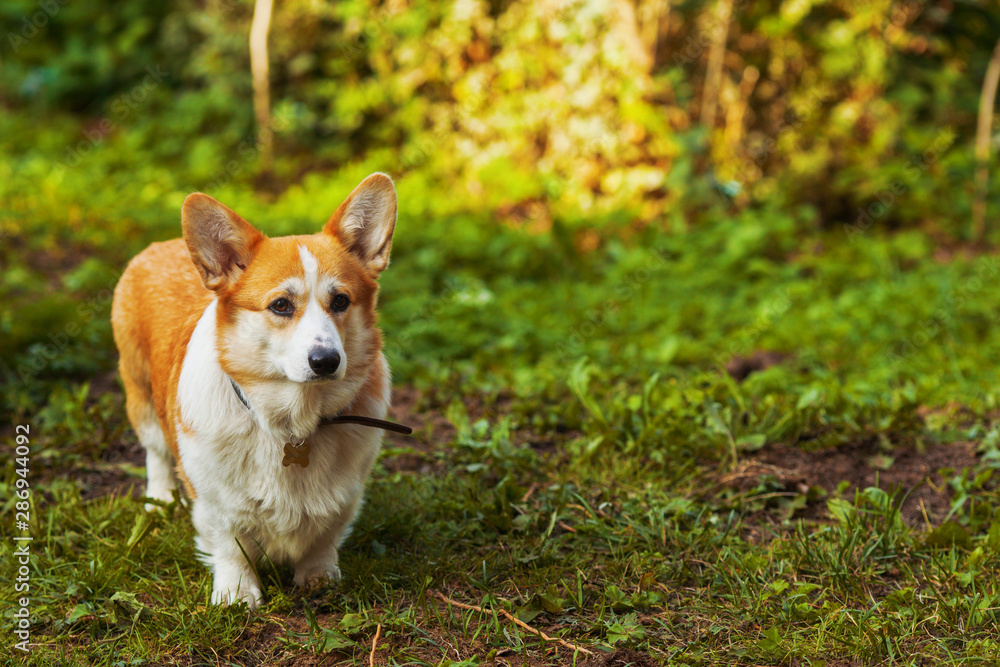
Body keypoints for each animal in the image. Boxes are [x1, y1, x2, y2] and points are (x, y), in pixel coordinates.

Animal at [112, 174, 398, 612]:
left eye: (341, 301)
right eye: (280, 305)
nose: (326, 360)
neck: (292, 422)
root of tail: (160, 244)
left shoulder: (347, 493)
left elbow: (325, 536)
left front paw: (319, 578)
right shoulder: (214, 499)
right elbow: (230, 545)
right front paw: (235, 594)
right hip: (140, 395)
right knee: (156, 453)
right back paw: (159, 500)